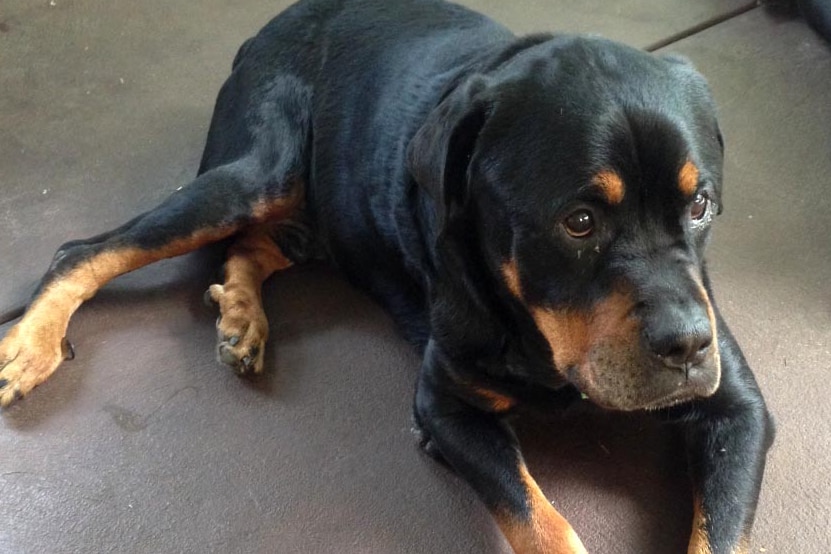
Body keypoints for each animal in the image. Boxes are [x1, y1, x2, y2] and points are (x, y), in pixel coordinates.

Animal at [3, 0, 776, 548]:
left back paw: (241, 320)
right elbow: (541, 520)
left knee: (253, 248)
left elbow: (720, 532)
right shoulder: (444, 404)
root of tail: (278, 18)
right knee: (85, 248)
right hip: (257, 170)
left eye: (700, 204)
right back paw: (29, 348)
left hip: (317, 215)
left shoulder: (738, 408)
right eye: (579, 221)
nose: (686, 346)